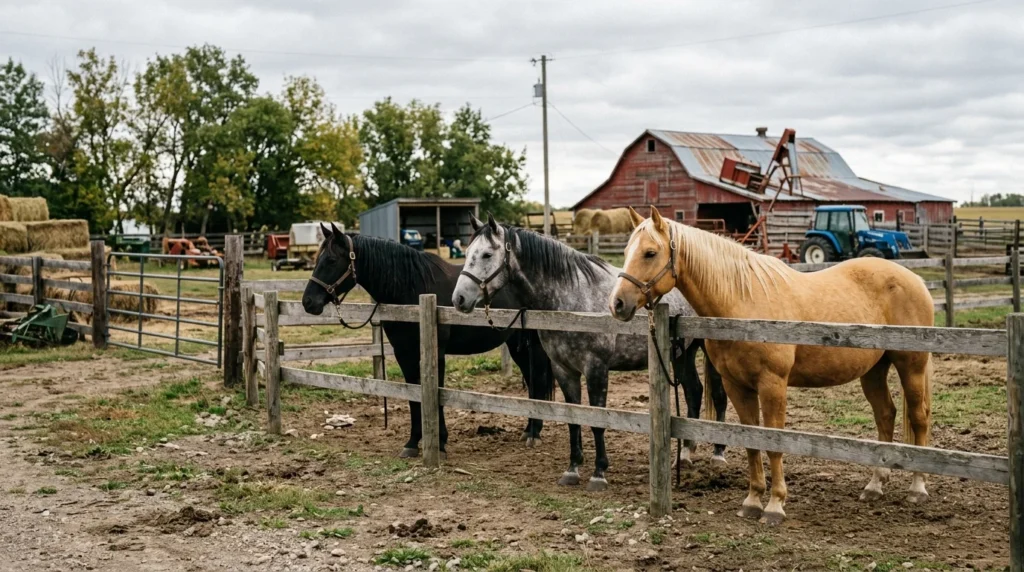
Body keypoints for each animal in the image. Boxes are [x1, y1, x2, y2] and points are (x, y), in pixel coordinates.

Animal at [301, 224, 556, 458]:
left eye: (331, 260)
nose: (308, 302)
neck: (411, 289)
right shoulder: (404, 353)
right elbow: (414, 396)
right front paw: (412, 443)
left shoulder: (436, 352)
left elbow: (436, 395)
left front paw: (440, 443)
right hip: (516, 345)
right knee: (532, 380)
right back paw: (529, 429)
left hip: (533, 345)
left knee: (537, 380)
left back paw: (534, 433)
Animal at [451, 214, 728, 492]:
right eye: (468, 252)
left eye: (487, 254)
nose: (459, 299)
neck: (573, 299)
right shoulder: (564, 370)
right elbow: (574, 419)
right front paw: (572, 469)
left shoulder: (596, 369)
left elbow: (598, 421)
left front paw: (598, 473)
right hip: (682, 353)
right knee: (693, 392)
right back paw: (686, 455)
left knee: (718, 395)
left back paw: (718, 453)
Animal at [608, 206, 934, 525]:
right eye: (626, 250)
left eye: (650, 252)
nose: (617, 303)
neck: (742, 303)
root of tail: (916, 280)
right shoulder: (737, 386)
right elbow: (752, 442)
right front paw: (752, 501)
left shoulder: (772, 385)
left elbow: (774, 442)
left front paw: (775, 505)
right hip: (874, 370)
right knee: (885, 415)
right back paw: (875, 485)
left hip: (912, 367)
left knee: (918, 418)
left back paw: (917, 488)